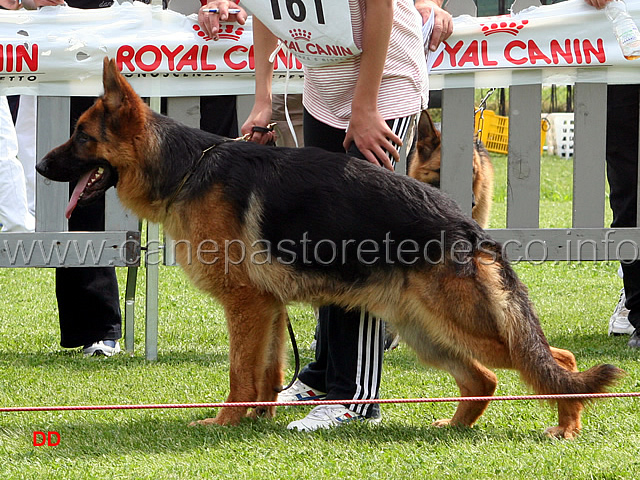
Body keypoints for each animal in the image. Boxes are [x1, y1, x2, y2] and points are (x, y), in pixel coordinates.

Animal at [37, 57, 624, 438]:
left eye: (82, 137)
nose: (41, 167)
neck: (186, 170)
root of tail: (467, 227)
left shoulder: (245, 306)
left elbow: (239, 373)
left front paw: (225, 421)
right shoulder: (268, 308)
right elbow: (268, 372)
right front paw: (258, 419)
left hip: (461, 325)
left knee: (556, 359)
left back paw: (565, 426)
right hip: (427, 332)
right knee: (485, 379)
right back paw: (454, 425)